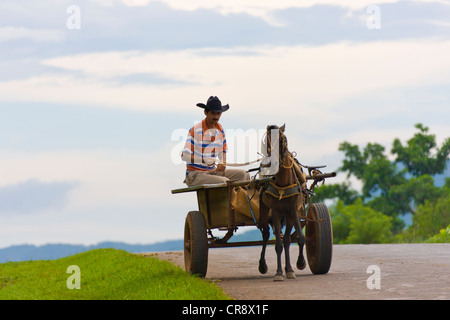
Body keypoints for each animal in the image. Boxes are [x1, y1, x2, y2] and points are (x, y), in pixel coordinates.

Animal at [256, 124, 306, 282]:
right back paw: (263, 265)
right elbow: (277, 244)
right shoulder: (276, 211)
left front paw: (300, 263)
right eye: (267, 141)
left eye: (283, 138)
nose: (274, 161)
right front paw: (278, 273)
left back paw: (288, 268)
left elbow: (299, 239)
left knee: (287, 240)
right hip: (265, 210)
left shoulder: (293, 210)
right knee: (266, 234)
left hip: (289, 215)